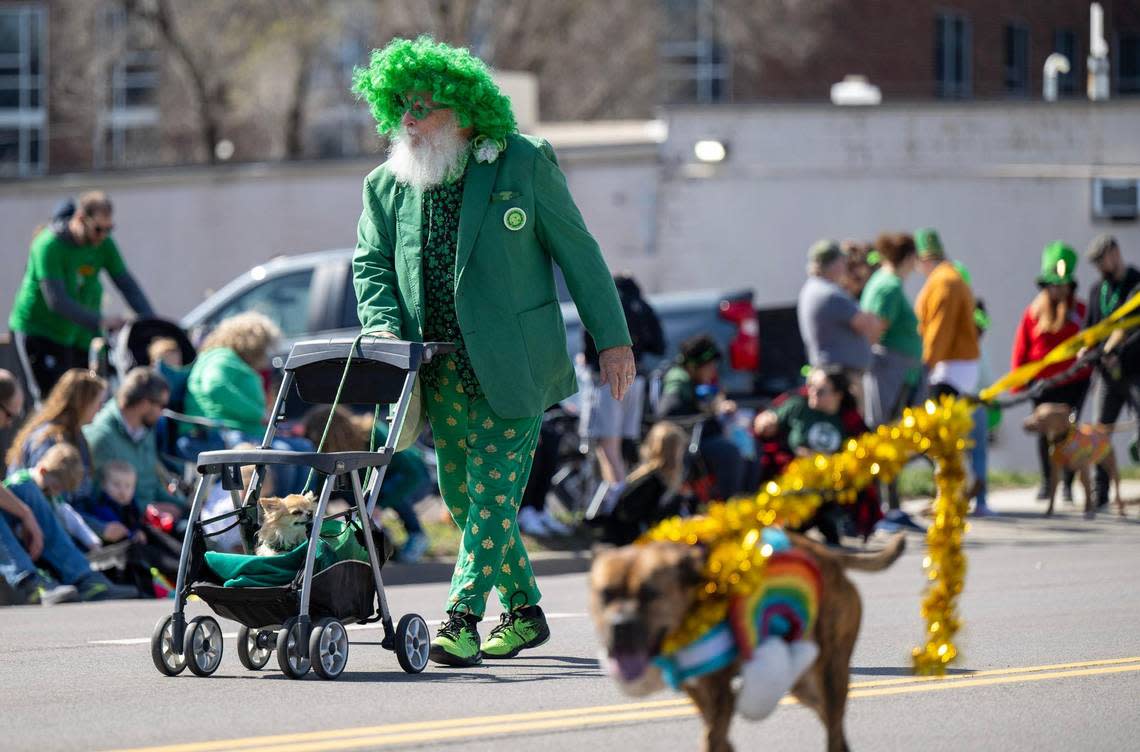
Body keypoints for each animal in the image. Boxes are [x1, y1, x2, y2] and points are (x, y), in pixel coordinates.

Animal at [592, 530, 902, 747]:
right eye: (604, 594)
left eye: (651, 594)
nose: (620, 626)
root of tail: (831, 557)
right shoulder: (699, 691)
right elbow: (716, 735)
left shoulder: (720, 695)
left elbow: (711, 737)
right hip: (803, 683)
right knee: (829, 720)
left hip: (831, 672)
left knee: (834, 729)